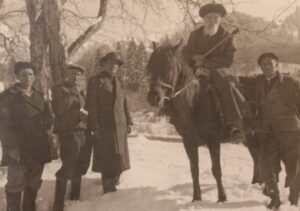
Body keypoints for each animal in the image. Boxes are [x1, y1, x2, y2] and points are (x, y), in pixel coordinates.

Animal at [146, 42, 262, 202]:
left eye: (169, 66)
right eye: (150, 66)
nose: (153, 97)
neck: (194, 101)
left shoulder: (213, 140)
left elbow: (216, 169)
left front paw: (222, 197)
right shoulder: (188, 142)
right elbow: (194, 170)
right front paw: (196, 197)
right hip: (249, 134)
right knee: (256, 154)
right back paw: (256, 181)